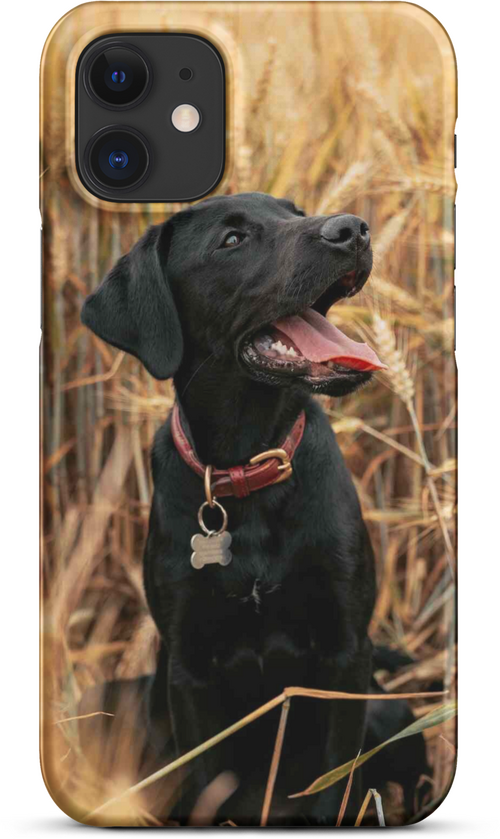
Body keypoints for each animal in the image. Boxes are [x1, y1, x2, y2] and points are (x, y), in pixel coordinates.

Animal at [82, 192, 388, 828]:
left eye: (294, 211)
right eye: (232, 240)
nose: (353, 230)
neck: (249, 468)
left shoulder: (348, 651)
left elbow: (333, 782)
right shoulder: (188, 669)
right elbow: (206, 782)